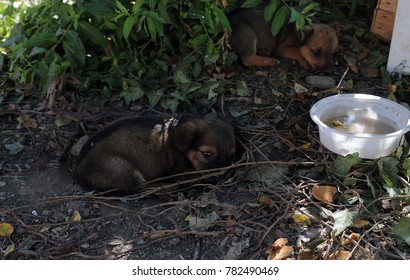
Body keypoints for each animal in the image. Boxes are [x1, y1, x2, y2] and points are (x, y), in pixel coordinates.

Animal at [75, 115, 235, 194]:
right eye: (206, 154)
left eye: (230, 156)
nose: (221, 176)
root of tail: (79, 173)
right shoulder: (179, 171)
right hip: (121, 167)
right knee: (142, 187)